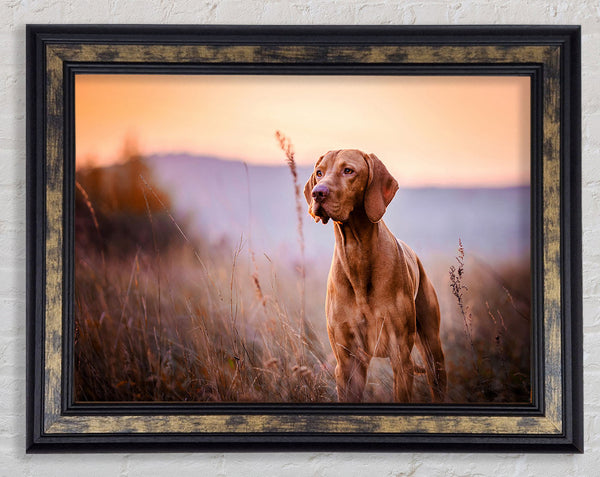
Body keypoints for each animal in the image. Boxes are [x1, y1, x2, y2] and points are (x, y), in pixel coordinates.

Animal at [304, 150, 446, 402]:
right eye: (319, 172)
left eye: (348, 170)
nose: (317, 192)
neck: (357, 254)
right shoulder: (348, 362)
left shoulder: (400, 357)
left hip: (432, 350)